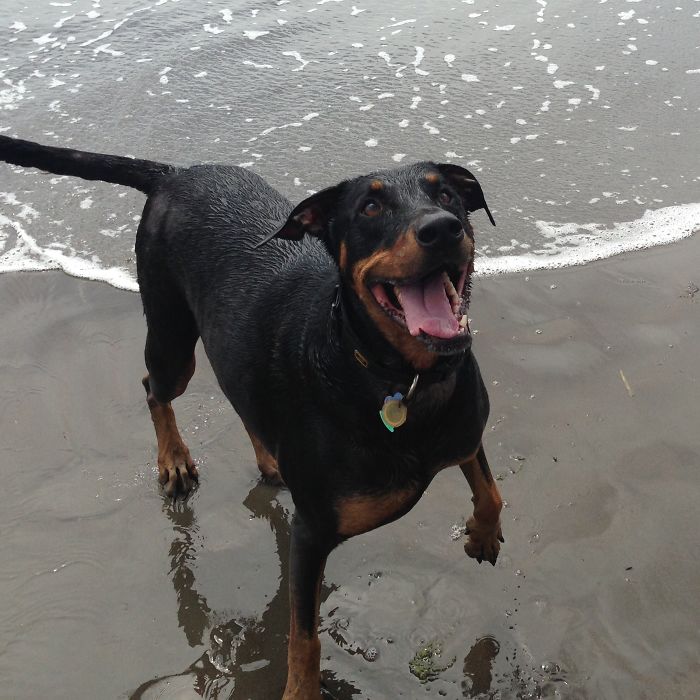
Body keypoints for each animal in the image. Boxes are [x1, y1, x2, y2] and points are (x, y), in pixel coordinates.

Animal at [0, 137, 504, 700]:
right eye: (370, 207)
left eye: (448, 195)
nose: (443, 227)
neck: (400, 380)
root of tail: (174, 174)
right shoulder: (311, 532)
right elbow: (303, 637)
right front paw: (301, 690)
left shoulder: (465, 429)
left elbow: (490, 488)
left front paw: (483, 534)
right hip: (172, 336)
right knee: (154, 387)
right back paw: (174, 460)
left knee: (242, 396)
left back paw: (268, 459)